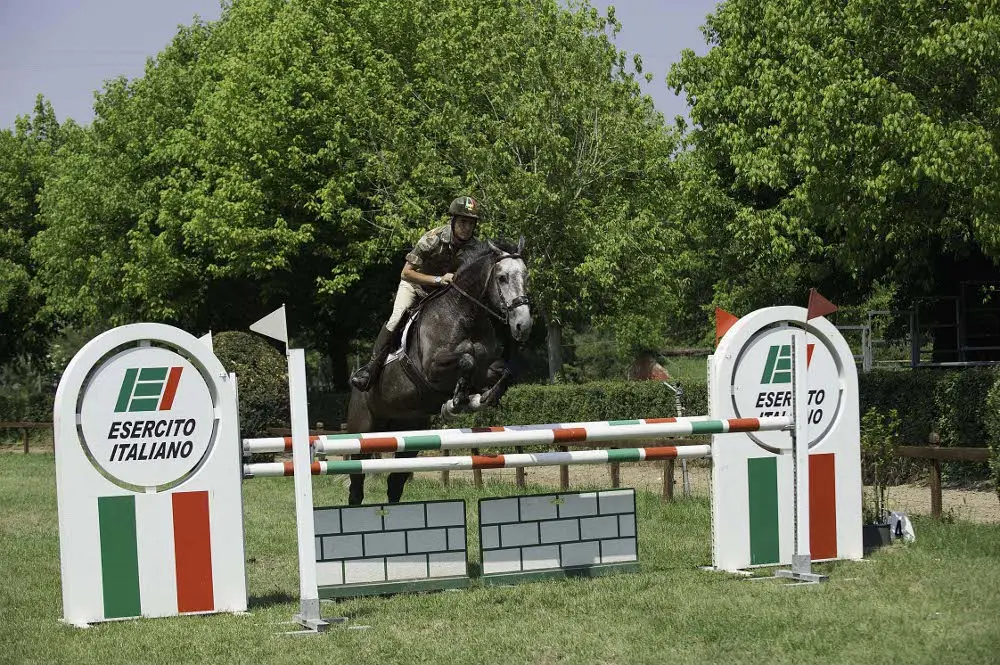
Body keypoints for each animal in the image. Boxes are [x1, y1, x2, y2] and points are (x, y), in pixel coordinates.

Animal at [345, 237, 533, 505]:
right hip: (362, 430)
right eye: (502, 278)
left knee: (395, 482)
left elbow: (504, 372)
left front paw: (480, 398)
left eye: (526, 276)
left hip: (410, 431)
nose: (523, 325)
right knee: (356, 484)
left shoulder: (486, 369)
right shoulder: (432, 369)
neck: (464, 314)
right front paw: (456, 402)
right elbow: (466, 358)